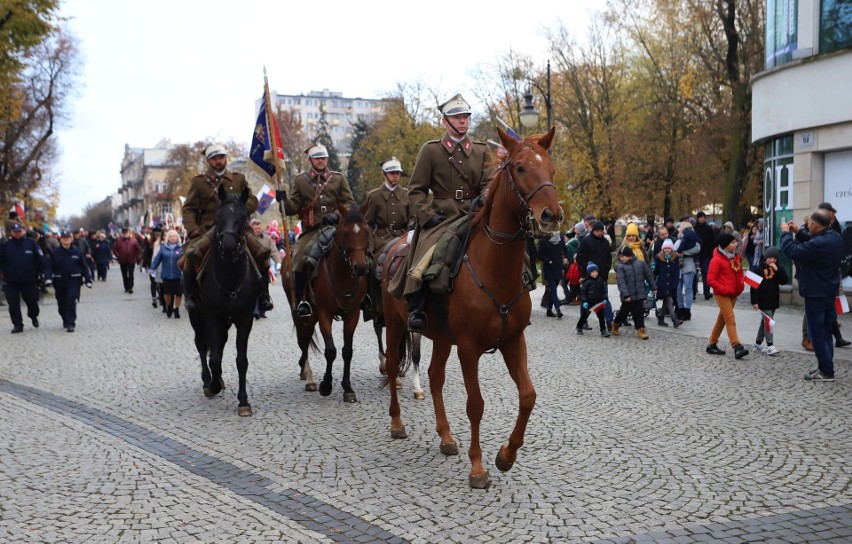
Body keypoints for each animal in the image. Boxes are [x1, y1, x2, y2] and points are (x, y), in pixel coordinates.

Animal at [189, 186, 260, 416]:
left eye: (244, 217)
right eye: (218, 217)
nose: (228, 247)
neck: (230, 278)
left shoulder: (245, 319)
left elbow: (241, 360)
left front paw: (243, 401)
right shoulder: (212, 317)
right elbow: (214, 358)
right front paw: (212, 386)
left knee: (218, 343)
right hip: (197, 316)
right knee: (202, 345)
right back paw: (208, 381)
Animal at [282, 206, 370, 402]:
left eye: (366, 231)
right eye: (345, 233)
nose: (360, 267)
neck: (342, 274)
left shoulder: (353, 314)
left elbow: (347, 351)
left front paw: (348, 388)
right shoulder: (324, 314)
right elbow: (330, 351)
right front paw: (326, 385)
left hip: (313, 315)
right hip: (300, 312)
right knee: (303, 339)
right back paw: (308, 377)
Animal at [382, 126, 564, 488]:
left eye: (551, 169)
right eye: (520, 167)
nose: (551, 216)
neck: (495, 268)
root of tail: (393, 245)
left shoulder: (513, 341)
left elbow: (528, 396)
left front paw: (506, 456)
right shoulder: (468, 348)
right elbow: (475, 404)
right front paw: (478, 467)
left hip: (440, 336)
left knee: (435, 377)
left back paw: (446, 437)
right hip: (396, 325)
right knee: (394, 365)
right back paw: (397, 423)